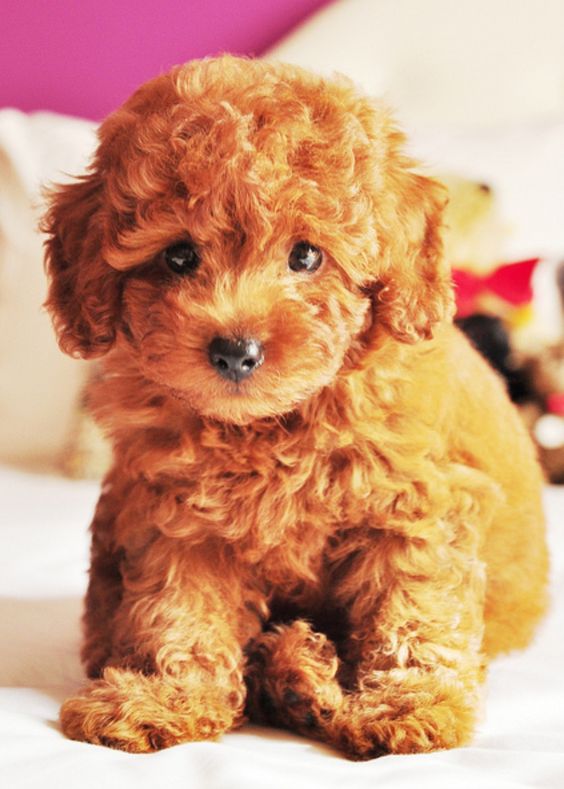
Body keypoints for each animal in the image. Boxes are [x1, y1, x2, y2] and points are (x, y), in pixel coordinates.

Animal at [44, 55, 548, 756]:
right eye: (179, 255)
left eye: (305, 255)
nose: (236, 350)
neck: (272, 425)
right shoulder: (178, 515)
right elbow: (179, 607)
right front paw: (169, 696)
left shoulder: (420, 506)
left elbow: (414, 606)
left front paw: (410, 704)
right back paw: (293, 673)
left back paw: (301, 677)